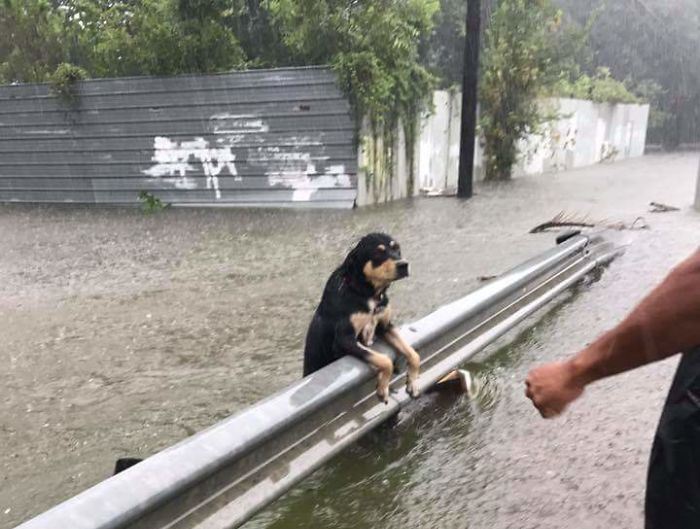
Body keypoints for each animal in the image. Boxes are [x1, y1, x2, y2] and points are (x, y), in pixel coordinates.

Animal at [302, 231, 422, 400]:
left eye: (397, 249)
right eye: (378, 253)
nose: (403, 264)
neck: (366, 293)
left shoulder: (386, 326)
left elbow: (413, 354)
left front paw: (413, 382)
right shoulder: (344, 340)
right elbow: (384, 360)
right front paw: (383, 387)